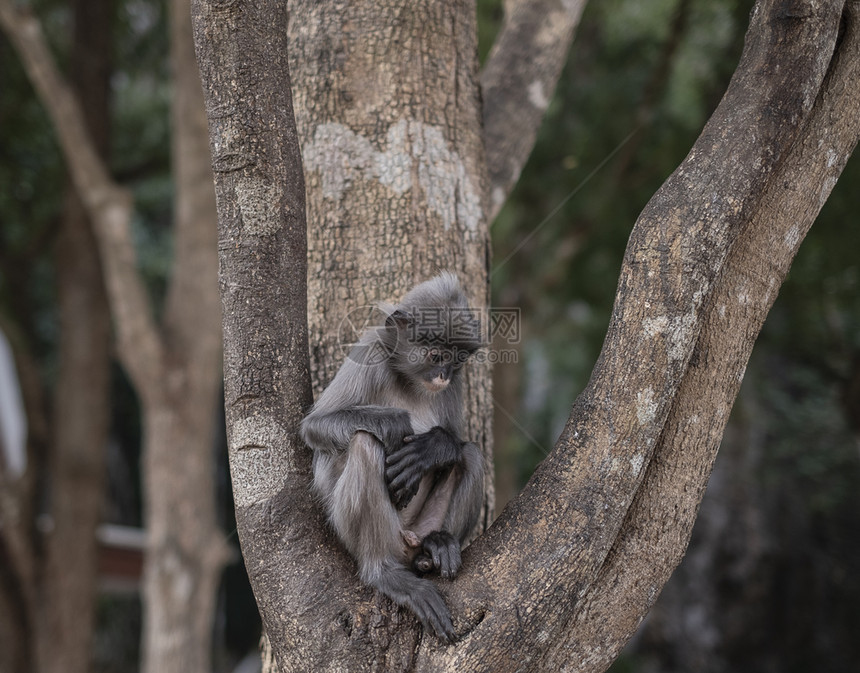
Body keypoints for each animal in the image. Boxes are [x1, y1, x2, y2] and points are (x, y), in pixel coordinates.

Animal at [300, 270, 490, 636]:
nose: (443, 376)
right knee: (365, 442)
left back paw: (435, 546)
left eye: (456, 358)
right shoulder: (369, 352)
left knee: (470, 453)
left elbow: (455, 440)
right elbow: (314, 427)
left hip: (422, 523)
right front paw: (392, 425)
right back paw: (383, 571)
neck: (409, 381)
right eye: (436, 356)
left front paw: (434, 447)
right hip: (356, 529)